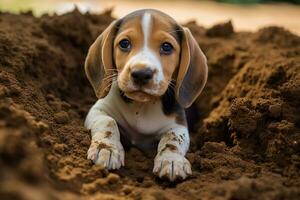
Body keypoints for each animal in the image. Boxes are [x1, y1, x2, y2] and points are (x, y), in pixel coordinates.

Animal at [83, 9, 207, 181]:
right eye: (124, 43)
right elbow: (108, 121)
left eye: (167, 47)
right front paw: (106, 149)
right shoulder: (98, 110)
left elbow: (172, 138)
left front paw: (171, 160)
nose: (141, 73)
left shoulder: (178, 125)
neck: (141, 105)